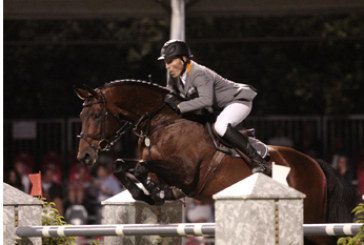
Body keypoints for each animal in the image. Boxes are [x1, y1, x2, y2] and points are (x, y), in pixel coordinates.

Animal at [74, 79, 358, 244]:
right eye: (81, 115)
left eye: (96, 115)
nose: (84, 157)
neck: (163, 121)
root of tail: (316, 163)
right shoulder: (157, 167)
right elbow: (122, 165)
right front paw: (147, 194)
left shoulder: (186, 173)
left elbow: (144, 168)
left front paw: (155, 192)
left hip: (313, 219)